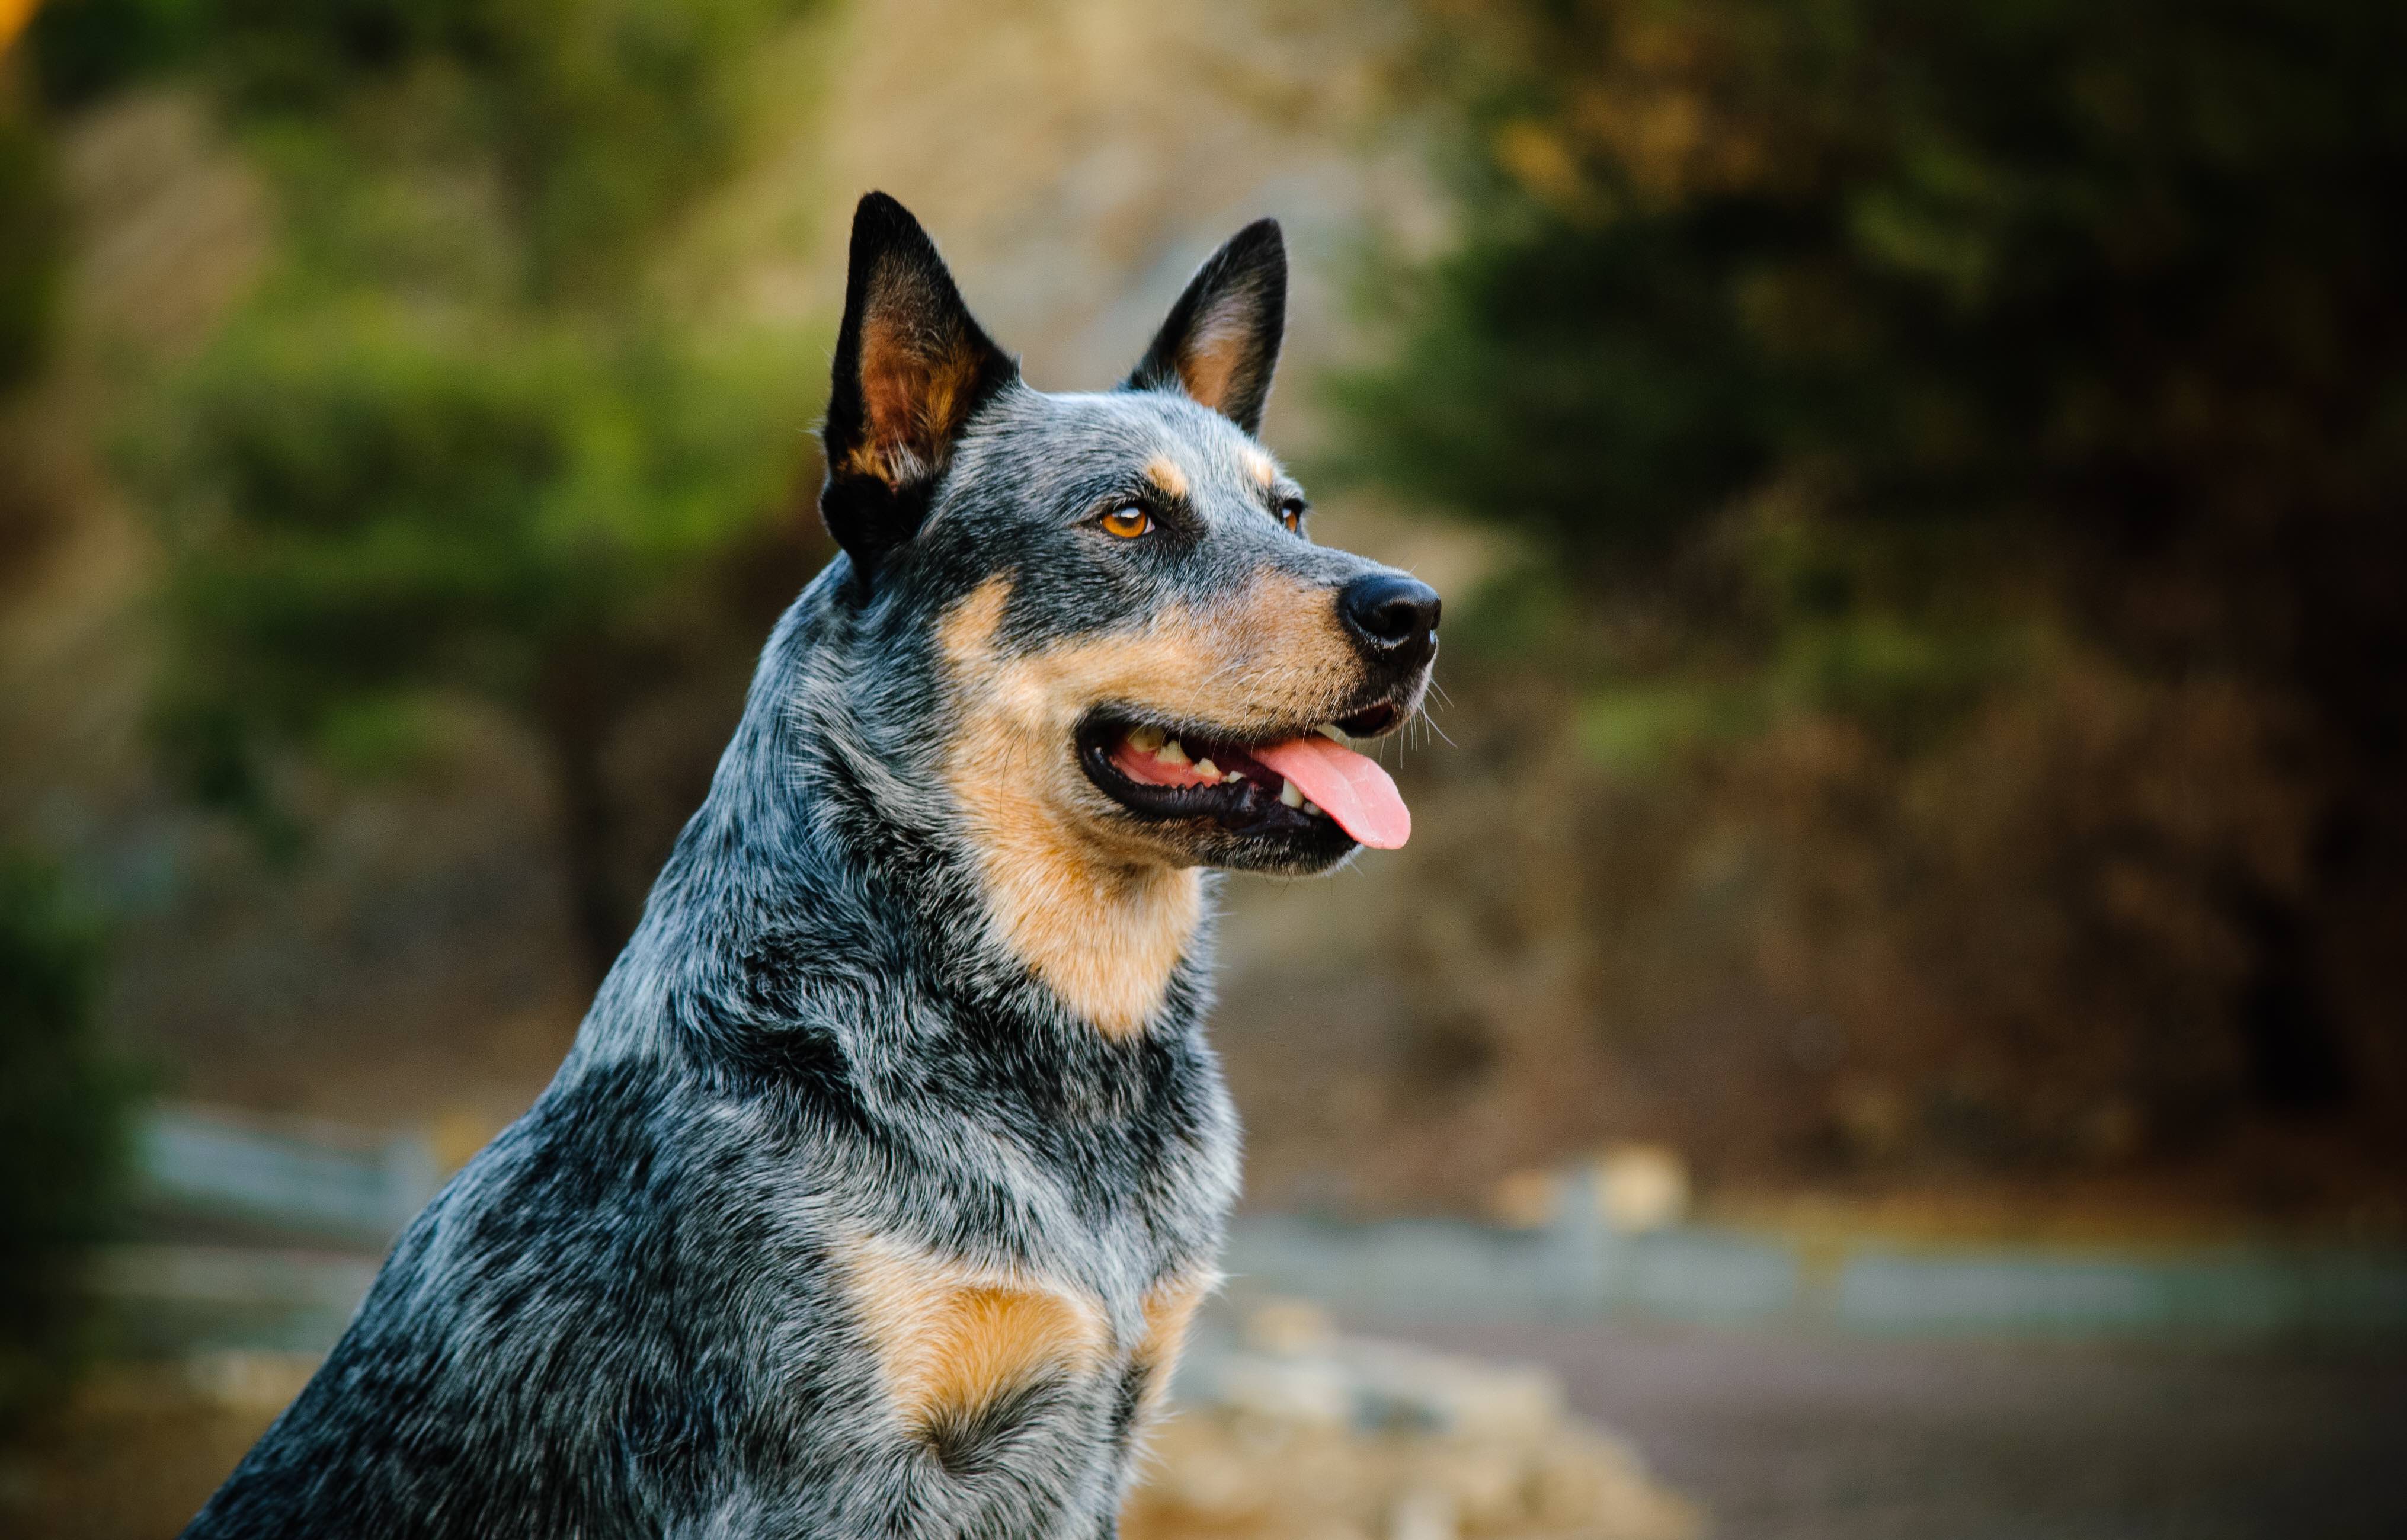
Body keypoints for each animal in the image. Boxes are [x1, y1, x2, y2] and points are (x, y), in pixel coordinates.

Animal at [187, 192, 1434, 1540]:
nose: (1414, 611)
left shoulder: (1110, 1417)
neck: (1054, 1056)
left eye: (1289, 511)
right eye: (1128, 518)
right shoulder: (822, 1473)